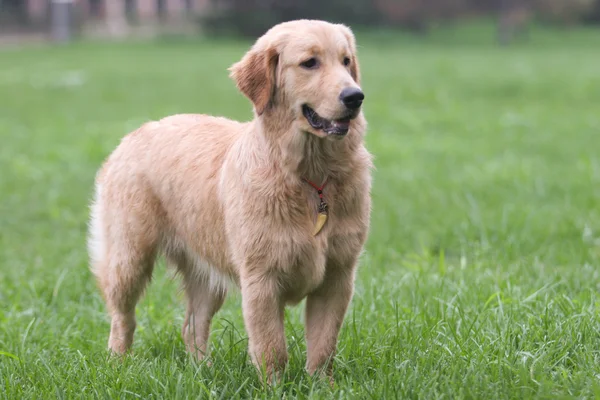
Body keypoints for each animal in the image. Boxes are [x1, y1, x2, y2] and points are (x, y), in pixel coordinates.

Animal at [89, 19, 372, 382]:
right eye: (310, 63)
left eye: (346, 61)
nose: (355, 96)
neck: (311, 177)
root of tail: (137, 131)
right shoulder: (261, 279)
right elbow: (271, 348)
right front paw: (275, 387)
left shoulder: (337, 277)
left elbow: (323, 346)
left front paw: (322, 385)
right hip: (129, 259)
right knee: (122, 318)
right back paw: (118, 366)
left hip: (207, 275)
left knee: (192, 326)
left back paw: (202, 373)